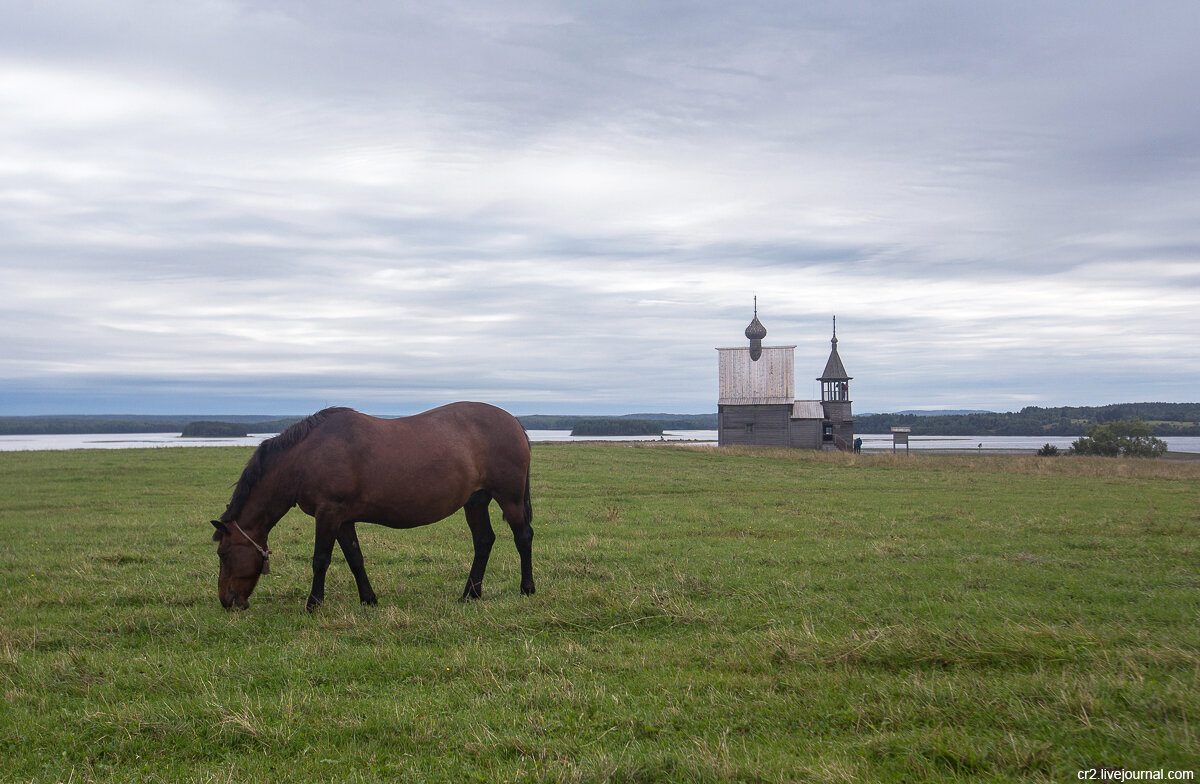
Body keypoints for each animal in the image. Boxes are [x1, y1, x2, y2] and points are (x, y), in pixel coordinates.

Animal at [211, 403, 535, 612]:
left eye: (223, 554)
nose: (226, 601)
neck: (306, 457)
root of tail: (513, 422)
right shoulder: (342, 519)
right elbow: (355, 558)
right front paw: (369, 599)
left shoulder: (328, 514)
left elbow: (320, 559)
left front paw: (313, 604)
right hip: (476, 501)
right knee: (484, 541)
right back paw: (470, 594)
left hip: (509, 497)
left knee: (523, 537)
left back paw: (527, 589)